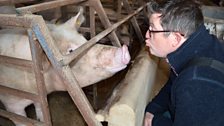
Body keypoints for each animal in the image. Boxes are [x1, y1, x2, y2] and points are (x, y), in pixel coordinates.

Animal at [0, 7, 130, 125]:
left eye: (84, 39)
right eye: (70, 50)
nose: (124, 49)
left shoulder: (41, 96)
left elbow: (41, 111)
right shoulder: (12, 103)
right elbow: (21, 120)